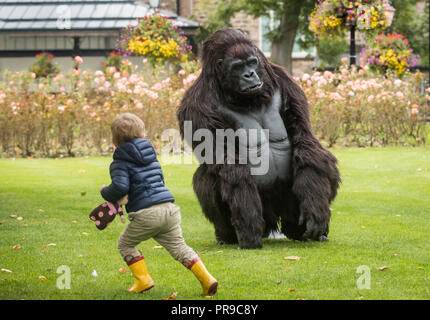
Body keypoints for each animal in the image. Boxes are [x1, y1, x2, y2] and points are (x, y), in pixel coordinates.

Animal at [176, 28, 340, 249]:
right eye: (238, 66)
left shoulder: (284, 80)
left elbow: (305, 142)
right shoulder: (196, 106)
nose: (250, 74)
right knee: (206, 175)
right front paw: (248, 229)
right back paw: (226, 235)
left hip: (288, 215)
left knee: (322, 161)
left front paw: (315, 208)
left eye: (252, 62)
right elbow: (229, 166)